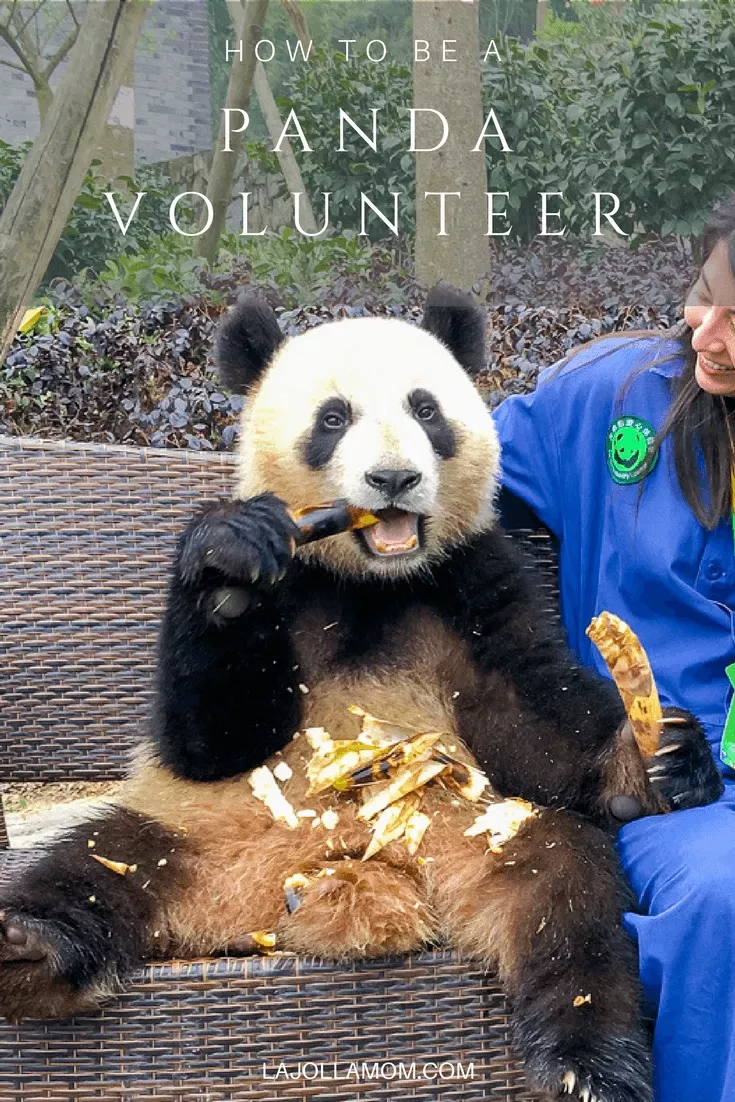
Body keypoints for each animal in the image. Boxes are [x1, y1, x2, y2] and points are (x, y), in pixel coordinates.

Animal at [0, 286, 721, 1102]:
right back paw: (30, 950)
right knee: (94, 863)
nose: (393, 480)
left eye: (426, 410)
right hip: (195, 832)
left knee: (570, 900)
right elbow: (212, 735)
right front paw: (228, 566)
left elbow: (526, 715)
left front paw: (655, 758)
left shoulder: (471, 580)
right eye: (332, 419)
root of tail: (339, 877)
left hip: (483, 834)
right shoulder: (289, 591)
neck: (370, 578)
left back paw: (589, 1065)